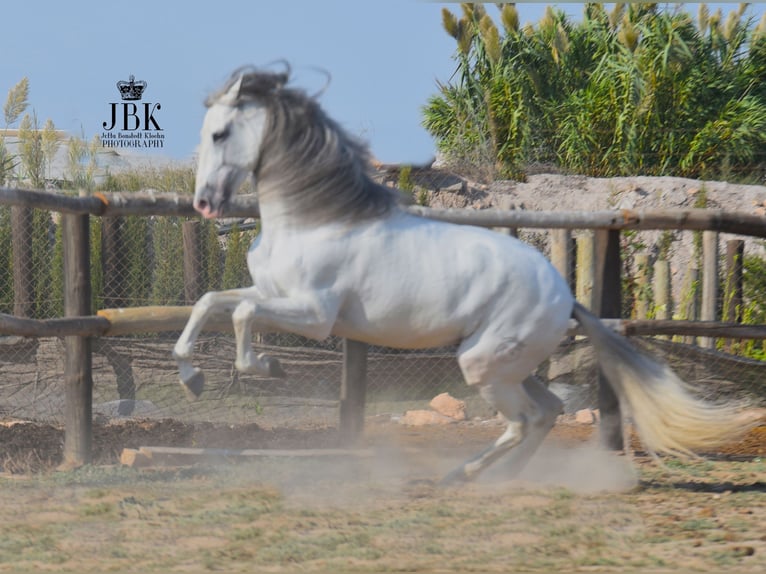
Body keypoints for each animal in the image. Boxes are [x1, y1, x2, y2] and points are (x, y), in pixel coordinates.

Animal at [172, 65, 752, 484]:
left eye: (220, 133)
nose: (204, 203)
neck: (315, 219)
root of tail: (565, 296)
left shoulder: (314, 316)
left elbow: (242, 314)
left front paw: (265, 367)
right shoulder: (272, 291)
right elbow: (212, 301)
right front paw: (192, 377)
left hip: (482, 365)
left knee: (523, 421)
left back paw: (463, 475)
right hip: (506, 364)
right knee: (546, 412)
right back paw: (505, 479)